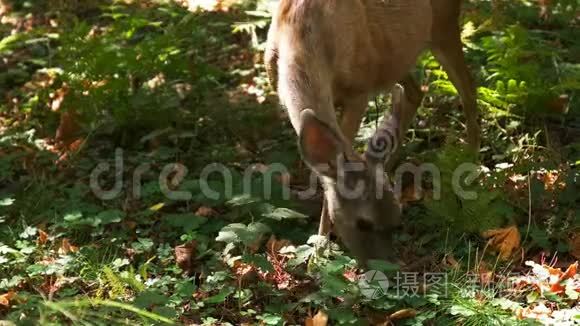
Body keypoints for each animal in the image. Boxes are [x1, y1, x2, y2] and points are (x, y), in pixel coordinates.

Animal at [264, 0, 480, 264]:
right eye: (363, 223)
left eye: (396, 220)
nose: (387, 268)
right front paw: (319, 248)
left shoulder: (359, 91)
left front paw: (319, 251)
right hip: (397, 55)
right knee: (415, 92)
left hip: (443, 24)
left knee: (469, 91)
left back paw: (472, 164)